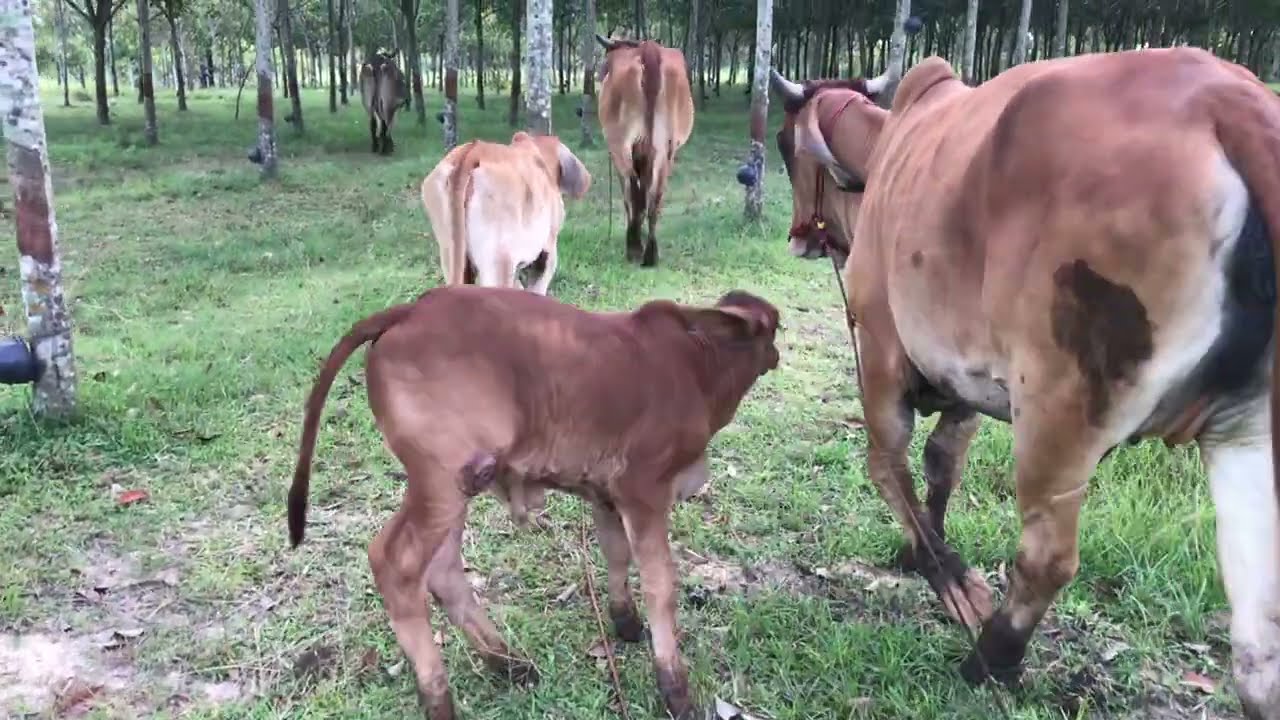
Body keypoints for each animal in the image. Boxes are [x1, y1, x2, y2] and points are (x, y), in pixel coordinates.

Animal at [286, 285, 781, 720]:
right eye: (773, 327)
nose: (777, 353)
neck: (700, 364)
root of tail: (409, 310)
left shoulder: (606, 493)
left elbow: (615, 554)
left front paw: (624, 622)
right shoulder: (644, 490)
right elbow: (661, 586)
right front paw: (674, 687)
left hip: (457, 485)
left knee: (443, 571)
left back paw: (507, 663)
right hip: (441, 482)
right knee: (395, 564)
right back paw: (440, 698)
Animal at [595, 35, 694, 267]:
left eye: (605, 68)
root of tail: (649, 50)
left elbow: (628, 196)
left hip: (621, 143)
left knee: (634, 188)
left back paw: (634, 248)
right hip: (666, 147)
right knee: (655, 195)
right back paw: (651, 252)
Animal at [771, 47, 1280, 719]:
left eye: (784, 146)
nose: (800, 236)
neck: (885, 153)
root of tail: (1233, 103)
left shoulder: (879, 350)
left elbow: (890, 469)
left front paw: (950, 579)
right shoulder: (967, 380)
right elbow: (943, 465)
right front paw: (924, 551)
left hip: (1058, 408)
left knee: (1049, 558)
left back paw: (991, 657)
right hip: (1244, 434)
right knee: (1261, 634)